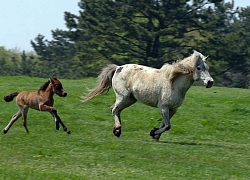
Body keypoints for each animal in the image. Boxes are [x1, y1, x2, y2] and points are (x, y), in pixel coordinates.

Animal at [83, 50, 213, 141]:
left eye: (207, 68)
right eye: (199, 68)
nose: (210, 82)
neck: (173, 83)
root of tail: (118, 68)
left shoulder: (173, 109)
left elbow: (164, 124)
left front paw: (155, 135)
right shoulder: (163, 107)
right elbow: (167, 125)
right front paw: (153, 133)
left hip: (130, 100)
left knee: (116, 110)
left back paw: (117, 131)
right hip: (123, 97)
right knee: (114, 109)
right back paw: (118, 130)